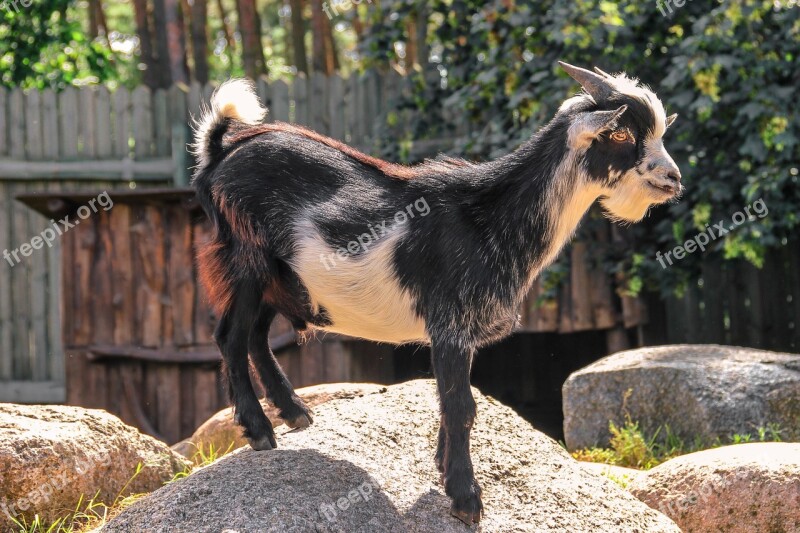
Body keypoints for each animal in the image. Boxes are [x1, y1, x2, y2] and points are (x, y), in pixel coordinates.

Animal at [192, 63, 680, 524]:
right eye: (621, 133)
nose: (673, 179)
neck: (491, 215)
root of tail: (220, 153)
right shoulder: (450, 324)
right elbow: (461, 405)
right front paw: (466, 499)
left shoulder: (461, 333)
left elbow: (452, 405)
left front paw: (446, 472)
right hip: (246, 261)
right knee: (231, 337)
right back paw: (260, 431)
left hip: (277, 278)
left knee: (255, 336)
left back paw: (294, 413)